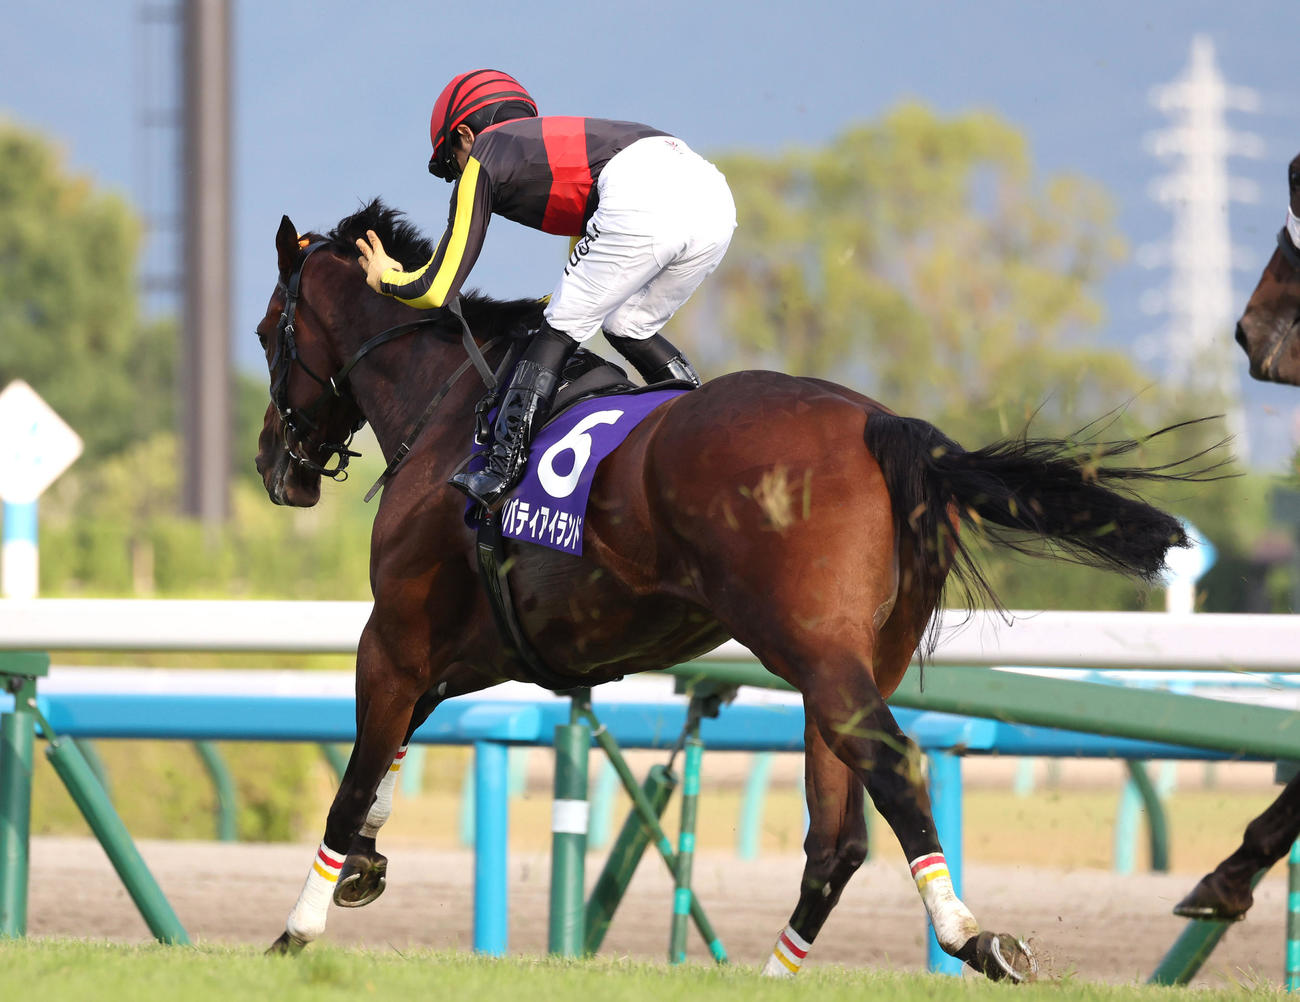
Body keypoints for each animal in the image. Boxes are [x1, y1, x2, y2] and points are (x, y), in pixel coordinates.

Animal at [255, 199, 1207, 978]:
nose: (273, 465)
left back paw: (971, 935)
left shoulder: (394, 638)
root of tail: (880, 424)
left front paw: (298, 928)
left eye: (268, 332)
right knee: (837, 837)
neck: (452, 416)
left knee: (893, 774)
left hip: (813, 649)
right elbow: (390, 755)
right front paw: (365, 864)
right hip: (855, 661)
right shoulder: (471, 653)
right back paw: (776, 972)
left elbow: (353, 780)